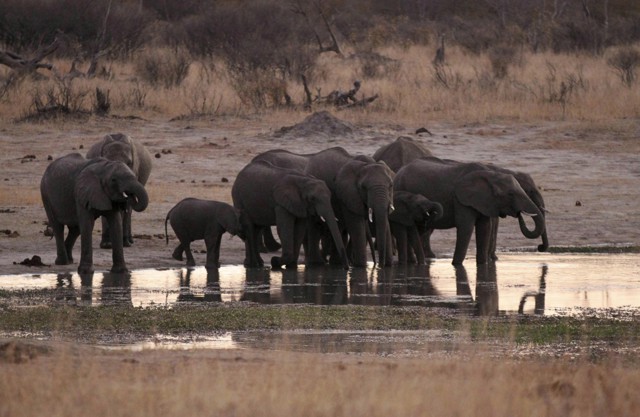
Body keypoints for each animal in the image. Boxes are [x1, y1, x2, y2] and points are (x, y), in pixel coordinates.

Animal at [396, 156, 544, 264]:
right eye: (511, 194)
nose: (540, 247)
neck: (490, 175)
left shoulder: (485, 201)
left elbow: (485, 228)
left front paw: (483, 265)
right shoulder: (461, 200)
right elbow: (466, 227)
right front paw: (456, 265)